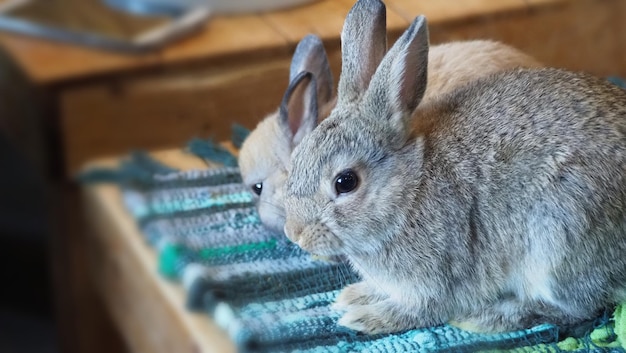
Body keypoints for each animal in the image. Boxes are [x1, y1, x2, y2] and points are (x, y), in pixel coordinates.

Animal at [282, 0, 624, 336]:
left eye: (346, 182)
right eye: (295, 159)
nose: (294, 234)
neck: (409, 191)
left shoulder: (439, 280)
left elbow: (421, 311)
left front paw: (366, 317)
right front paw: (355, 295)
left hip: (558, 237)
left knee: (575, 309)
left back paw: (487, 317)